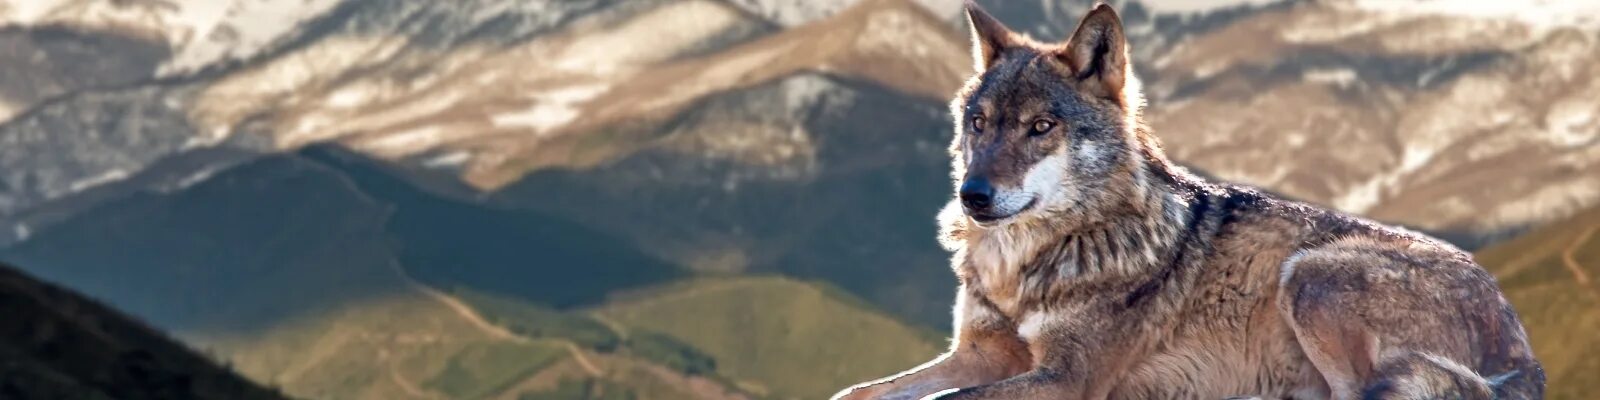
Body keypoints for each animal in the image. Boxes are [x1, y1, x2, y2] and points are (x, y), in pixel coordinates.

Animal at [825, 3, 1536, 400]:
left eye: (1041, 127)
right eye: (980, 124)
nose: (972, 197)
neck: (1027, 264)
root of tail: (1519, 340)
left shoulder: (1068, 378)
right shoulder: (982, 352)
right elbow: (859, 392)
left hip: (1309, 277)